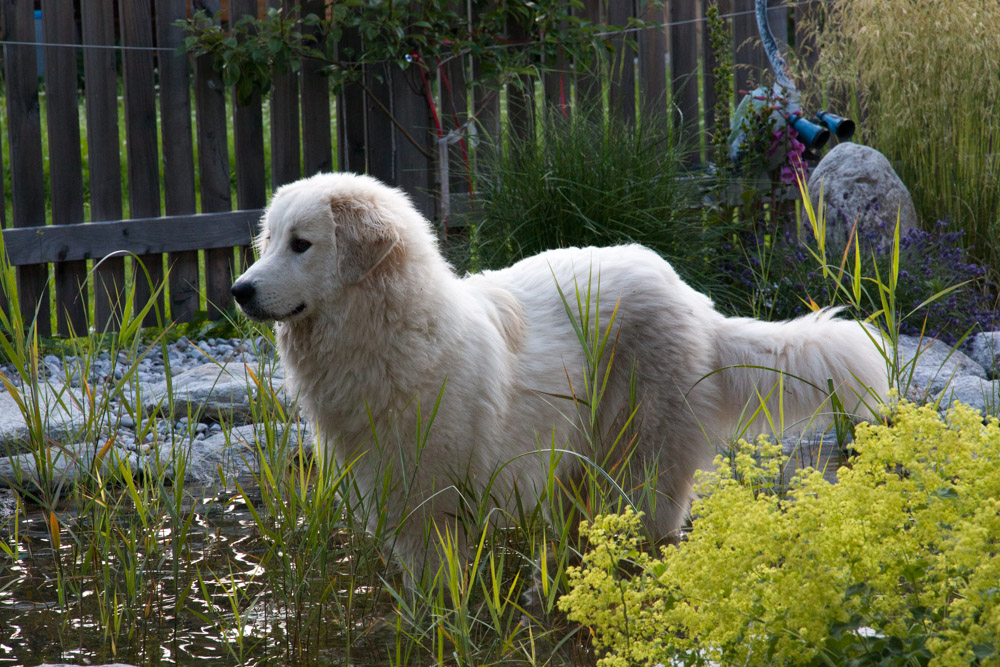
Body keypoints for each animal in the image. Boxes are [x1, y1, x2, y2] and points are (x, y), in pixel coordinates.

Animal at [230, 174, 888, 580]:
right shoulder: (396, 495)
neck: (396, 329)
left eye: (301, 244)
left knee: (651, 523)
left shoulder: (435, 503)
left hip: (640, 459)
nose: (239, 290)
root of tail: (693, 301)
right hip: (578, 464)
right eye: (268, 240)